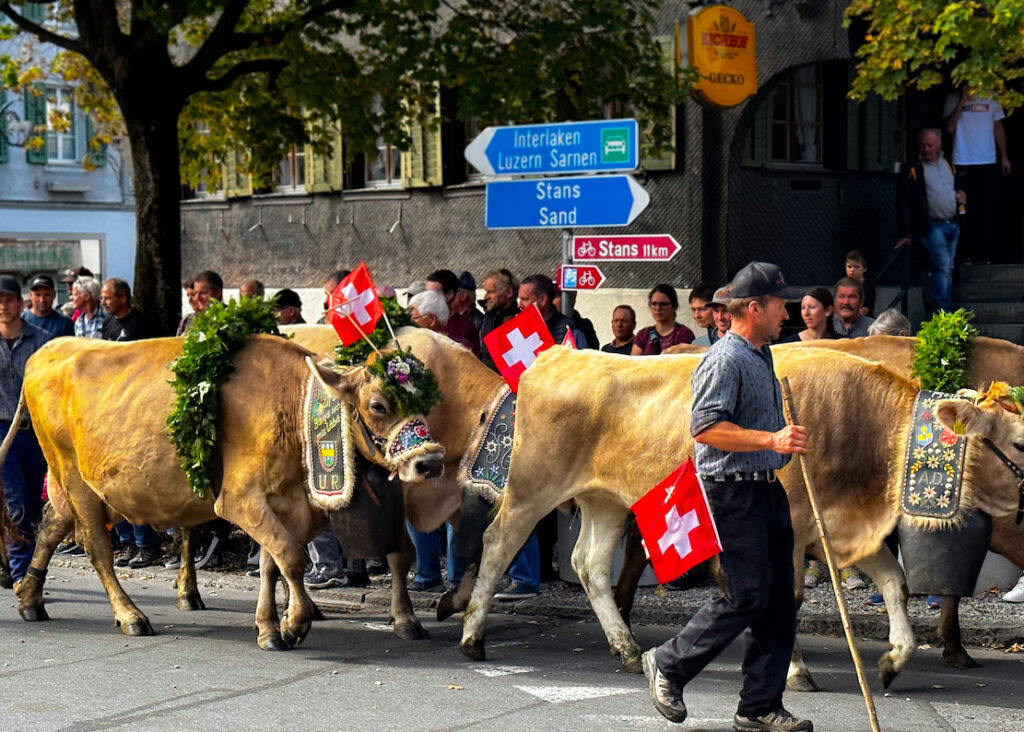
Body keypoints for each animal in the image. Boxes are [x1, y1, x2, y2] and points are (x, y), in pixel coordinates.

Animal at [4, 335, 444, 651]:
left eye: (429, 400)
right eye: (378, 405)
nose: (432, 462)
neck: (291, 404)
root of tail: (50, 347)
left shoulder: (285, 504)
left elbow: (272, 564)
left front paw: (271, 626)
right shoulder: (238, 499)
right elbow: (291, 558)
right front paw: (294, 624)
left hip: (75, 485)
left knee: (50, 526)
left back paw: (29, 597)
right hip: (75, 479)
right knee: (97, 549)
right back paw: (129, 615)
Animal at [456, 350, 1024, 692]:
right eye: (1019, 442)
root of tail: (562, 354)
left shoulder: (841, 529)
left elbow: (896, 584)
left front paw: (892, 662)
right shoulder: (793, 528)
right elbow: (787, 597)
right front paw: (796, 671)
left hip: (605, 500)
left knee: (590, 565)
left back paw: (627, 648)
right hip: (532, 487)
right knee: (497, 543)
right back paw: (473, 637)